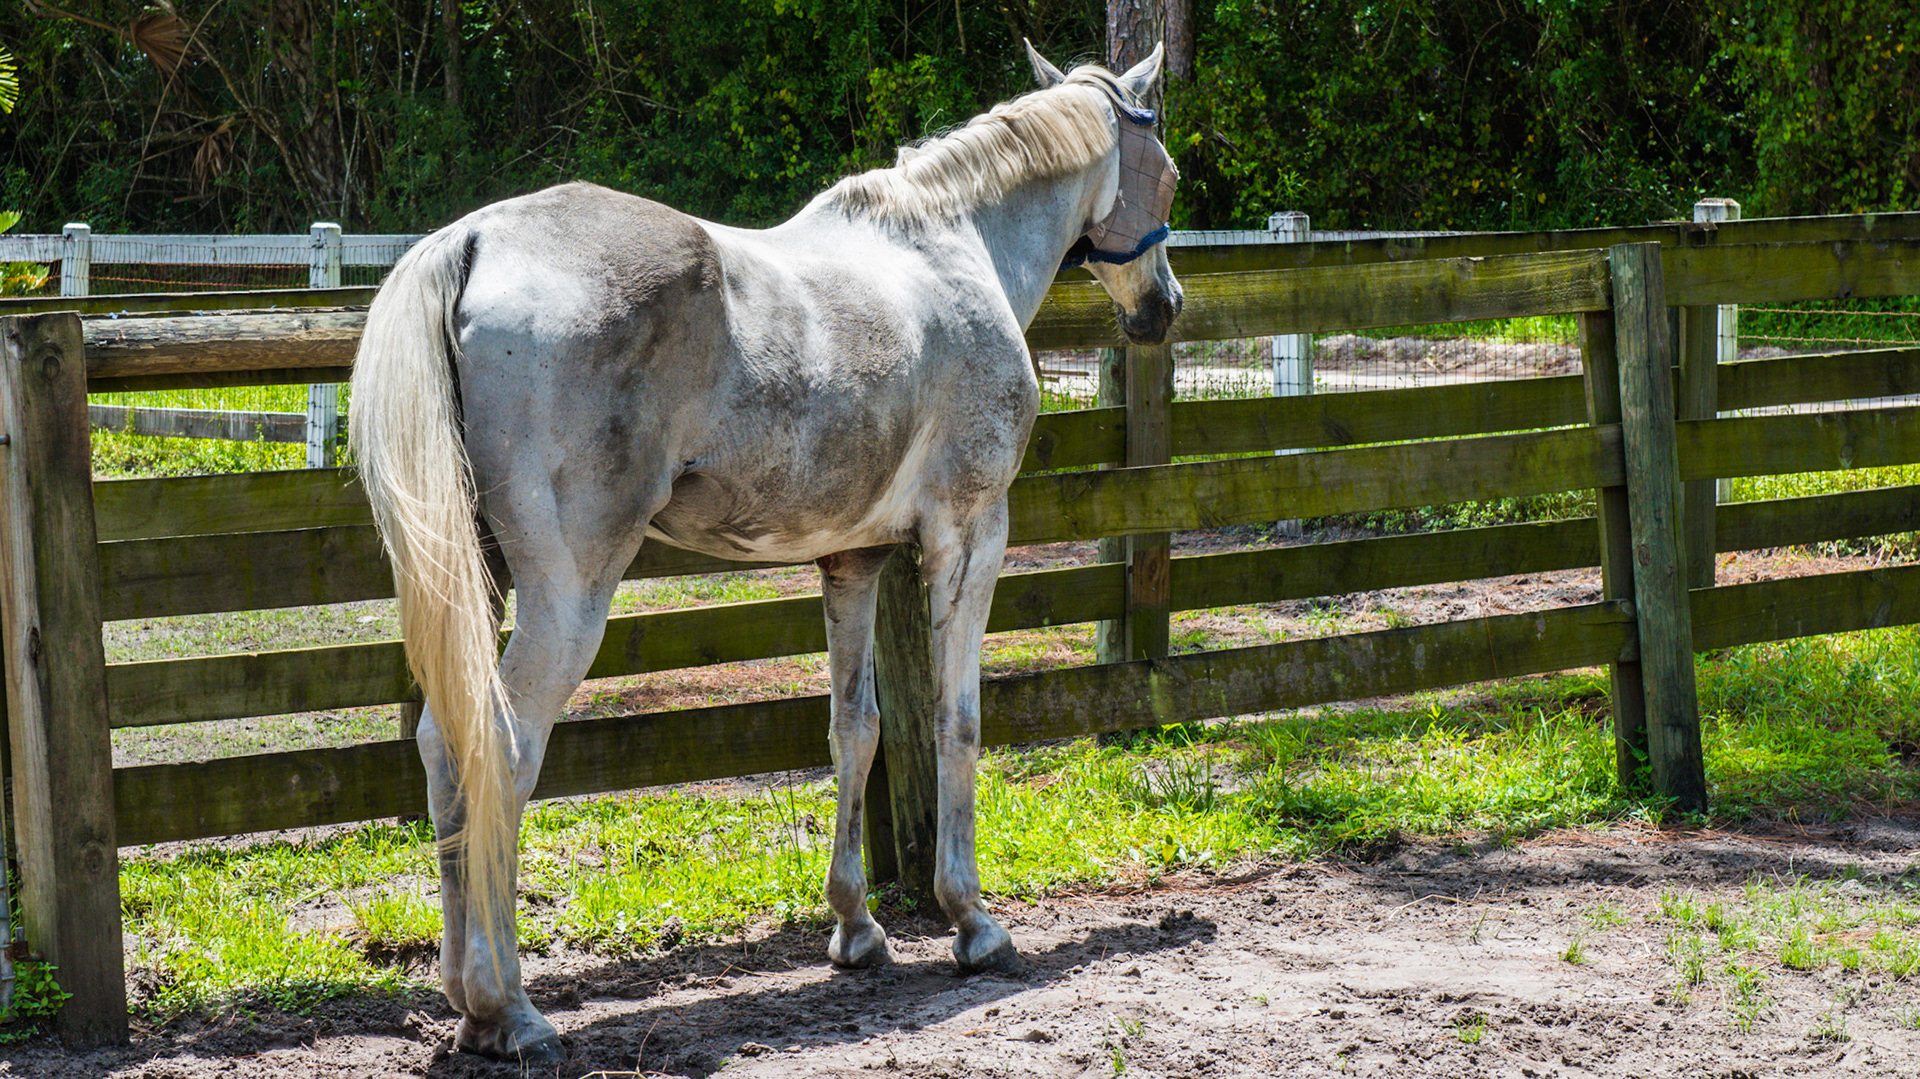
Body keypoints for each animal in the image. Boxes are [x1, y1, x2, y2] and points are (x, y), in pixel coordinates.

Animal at [349, 41, 1183, 1062]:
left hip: (482, 582)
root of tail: (473, 242)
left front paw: (857, 928)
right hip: (568, 595)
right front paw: (972, 920)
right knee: (503, 747)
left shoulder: (854, 562)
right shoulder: (969, 533)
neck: (955, 246)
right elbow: (958, 720)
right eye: (1167, 174)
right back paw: (511, 1007)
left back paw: (468, 1006)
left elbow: (855, 729)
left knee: (447, 746)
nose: (1162, 307)